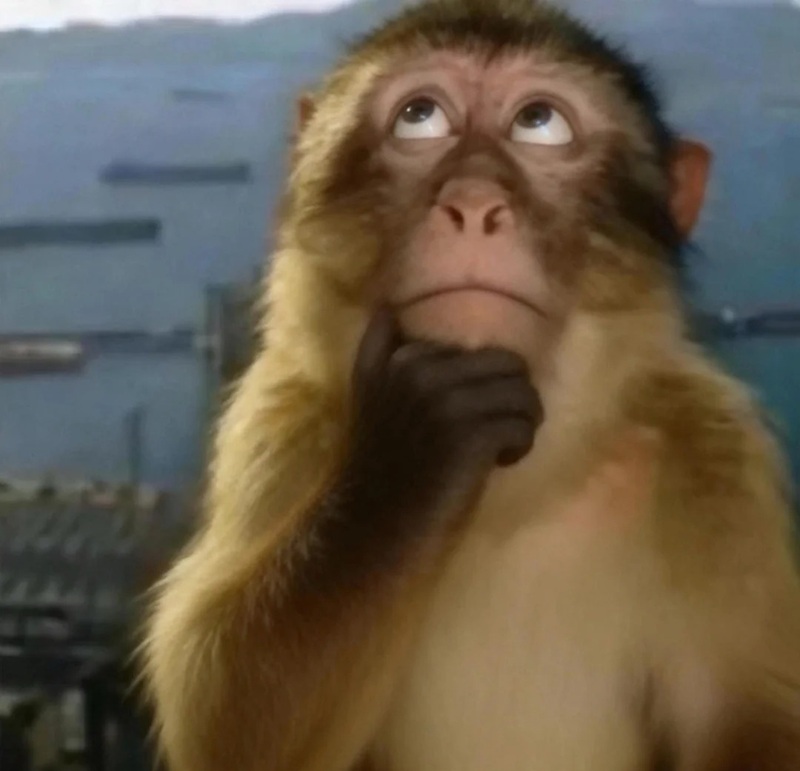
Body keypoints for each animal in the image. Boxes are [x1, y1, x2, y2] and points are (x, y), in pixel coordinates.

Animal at [139, 1, 800, 770]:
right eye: (420, 117)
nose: (474, 203)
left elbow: (746, 723)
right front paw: (414, 454)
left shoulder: (712, 454)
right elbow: (218, 710)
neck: (517, 478)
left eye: (539, 122)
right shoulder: (283, 418)